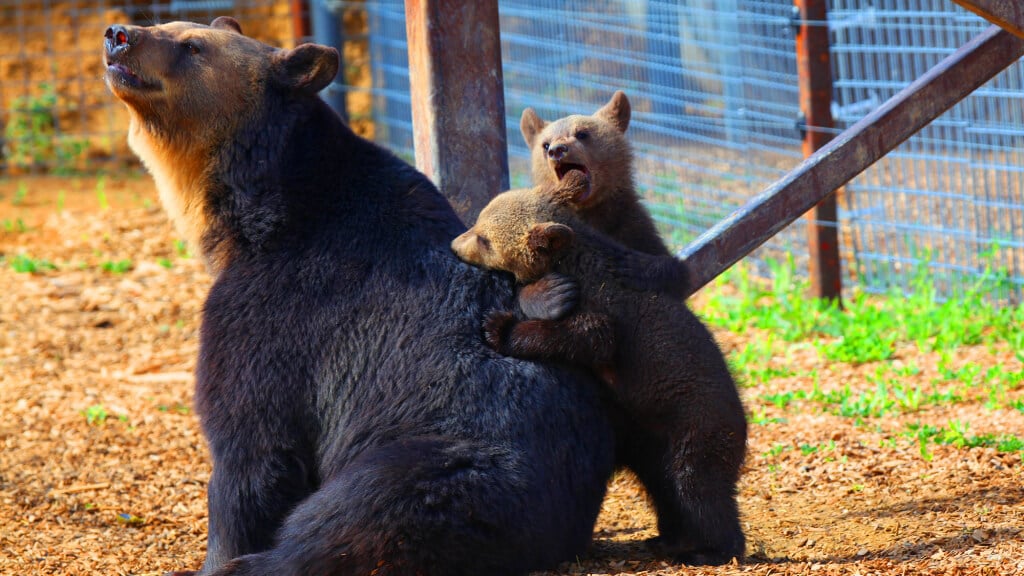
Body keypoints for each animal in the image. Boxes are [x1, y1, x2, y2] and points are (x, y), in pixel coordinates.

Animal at [103, 15, 614, 569]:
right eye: (166, 24)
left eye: (193, 46)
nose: (119, 36)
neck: (255, 217)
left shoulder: (275, 313)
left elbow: (252, 445)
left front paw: (218, 556)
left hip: (451, 459)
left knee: (356, 512)